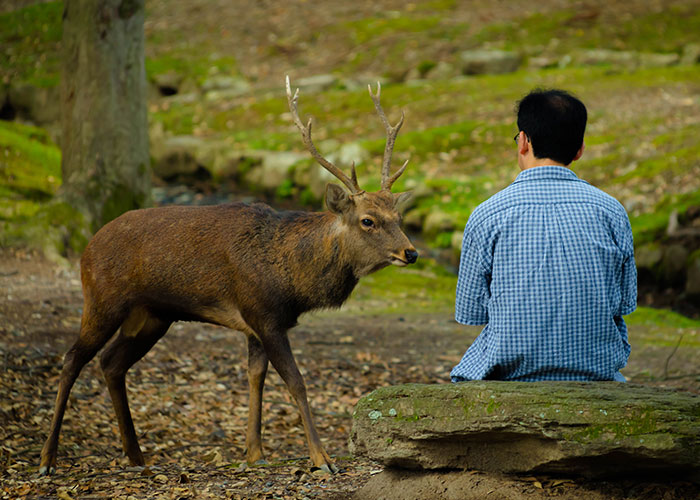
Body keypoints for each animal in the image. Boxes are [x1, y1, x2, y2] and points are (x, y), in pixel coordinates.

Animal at [39, 76, 418, 476]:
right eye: (367, 220)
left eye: (399, 217)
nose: (411, 252)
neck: (292, 279)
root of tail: (87, 248)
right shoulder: (263, 314)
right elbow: (296, 382)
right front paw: (322, 459)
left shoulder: (255, 324)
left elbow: (256, 378)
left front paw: (255, 452)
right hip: (102, 299)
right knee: (72, 358)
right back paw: (48, 459)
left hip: (152, 316)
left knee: (112, 363)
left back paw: (135, 455)